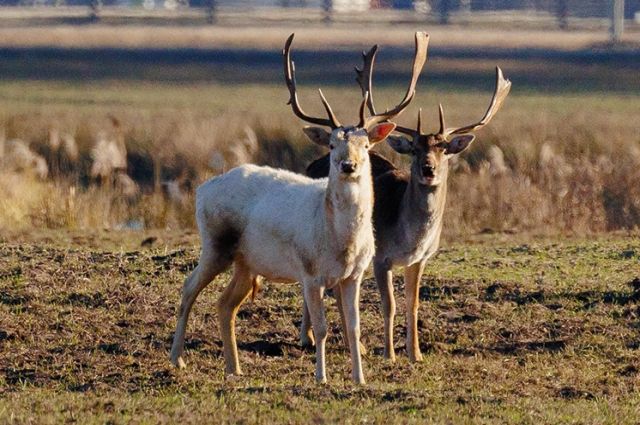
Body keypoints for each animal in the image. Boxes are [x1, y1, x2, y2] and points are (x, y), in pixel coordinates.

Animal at [171, 33, 424, 382]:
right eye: (331, 143)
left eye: (365, 144)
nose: (348, 165)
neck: (341, 243)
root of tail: (202, 189)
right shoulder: (310, 272)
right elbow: (322, 328)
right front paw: (321, 377)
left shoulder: (355, 274)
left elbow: (355, 328)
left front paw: (359, 378)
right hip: (215, 244)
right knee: (187, 288)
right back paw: (177, 359)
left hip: (247, 261)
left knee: (225, 304)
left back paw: (234, 369)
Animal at [304, 46, 510, 360]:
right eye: (414, 149)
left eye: (444, 149)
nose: (428, 168)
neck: (409, 237)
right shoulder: (380, 257)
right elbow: (388, 305)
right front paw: (389, 354)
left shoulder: (420, 259)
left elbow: (413, 305)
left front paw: (416, 353)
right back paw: (316, 340)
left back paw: (334, 342)